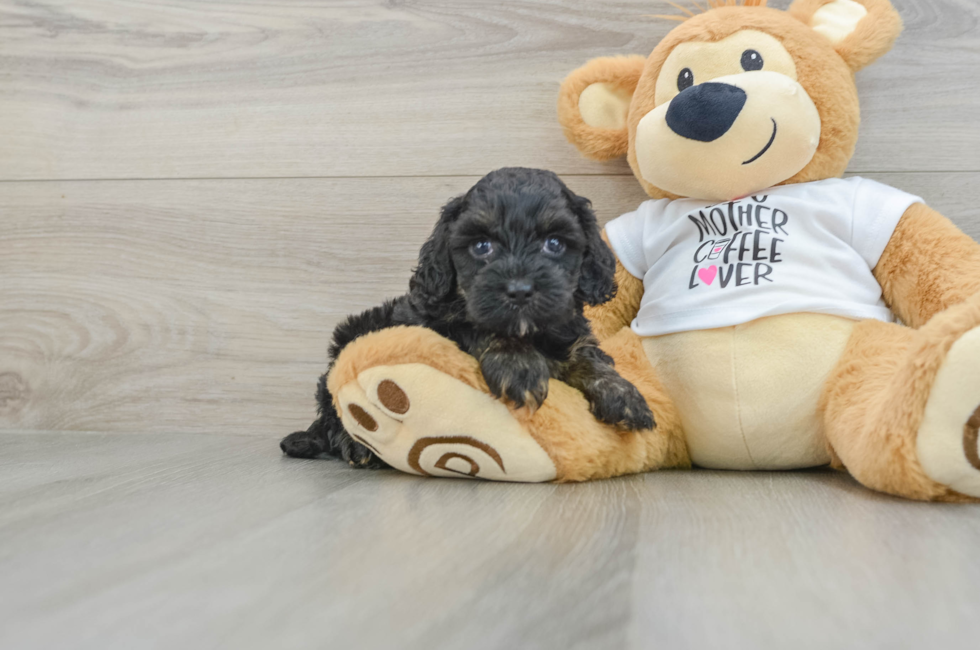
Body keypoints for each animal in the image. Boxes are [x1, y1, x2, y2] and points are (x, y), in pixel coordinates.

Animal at [280, 168, 656, 466]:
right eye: (481, 246)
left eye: (554, 243)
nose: (519, 290)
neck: (530, 332)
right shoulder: (445, 324)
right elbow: (482, 328)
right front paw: (519, 365)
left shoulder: (569, 330)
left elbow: (589, 357)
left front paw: (623, 394)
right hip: (350, 337)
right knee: (333, 412)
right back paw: (354, 446)